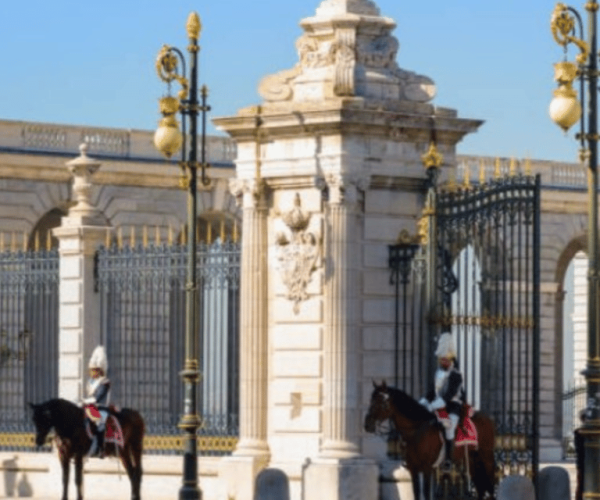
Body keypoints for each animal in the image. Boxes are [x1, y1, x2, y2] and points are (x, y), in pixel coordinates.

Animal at [364, 380, 494, 498]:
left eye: (381, 401)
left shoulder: (426, 468)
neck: (416, 430)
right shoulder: (413, 469)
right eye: (371, 400)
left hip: (486, 457)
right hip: (472, 459)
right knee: (480, 488)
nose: (367, 425)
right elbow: (416, 494)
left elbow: (426, 493)